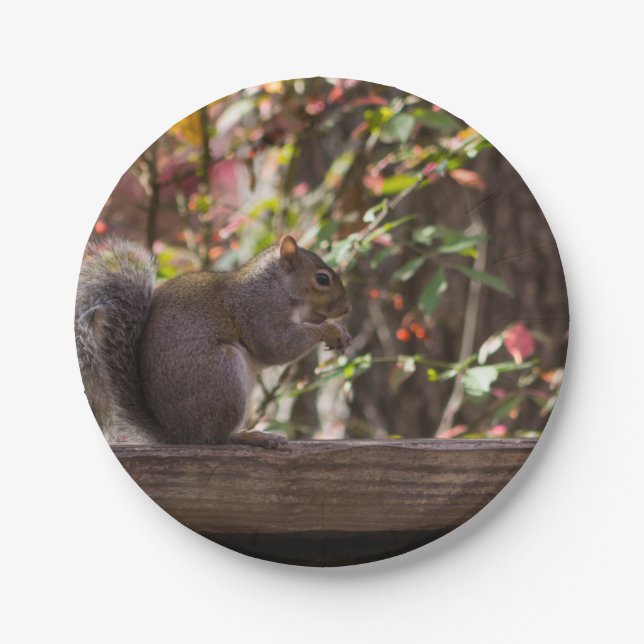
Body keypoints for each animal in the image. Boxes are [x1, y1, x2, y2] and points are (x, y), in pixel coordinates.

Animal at [75, 235, 351, 448]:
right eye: (322, 279)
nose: (346, 309)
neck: (276, 285)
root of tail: (178, 434)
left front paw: (339, 331)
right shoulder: (259, 311)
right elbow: (277, 346)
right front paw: (330, 331)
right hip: (223, 374)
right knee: (216, 438)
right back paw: (251, 437)